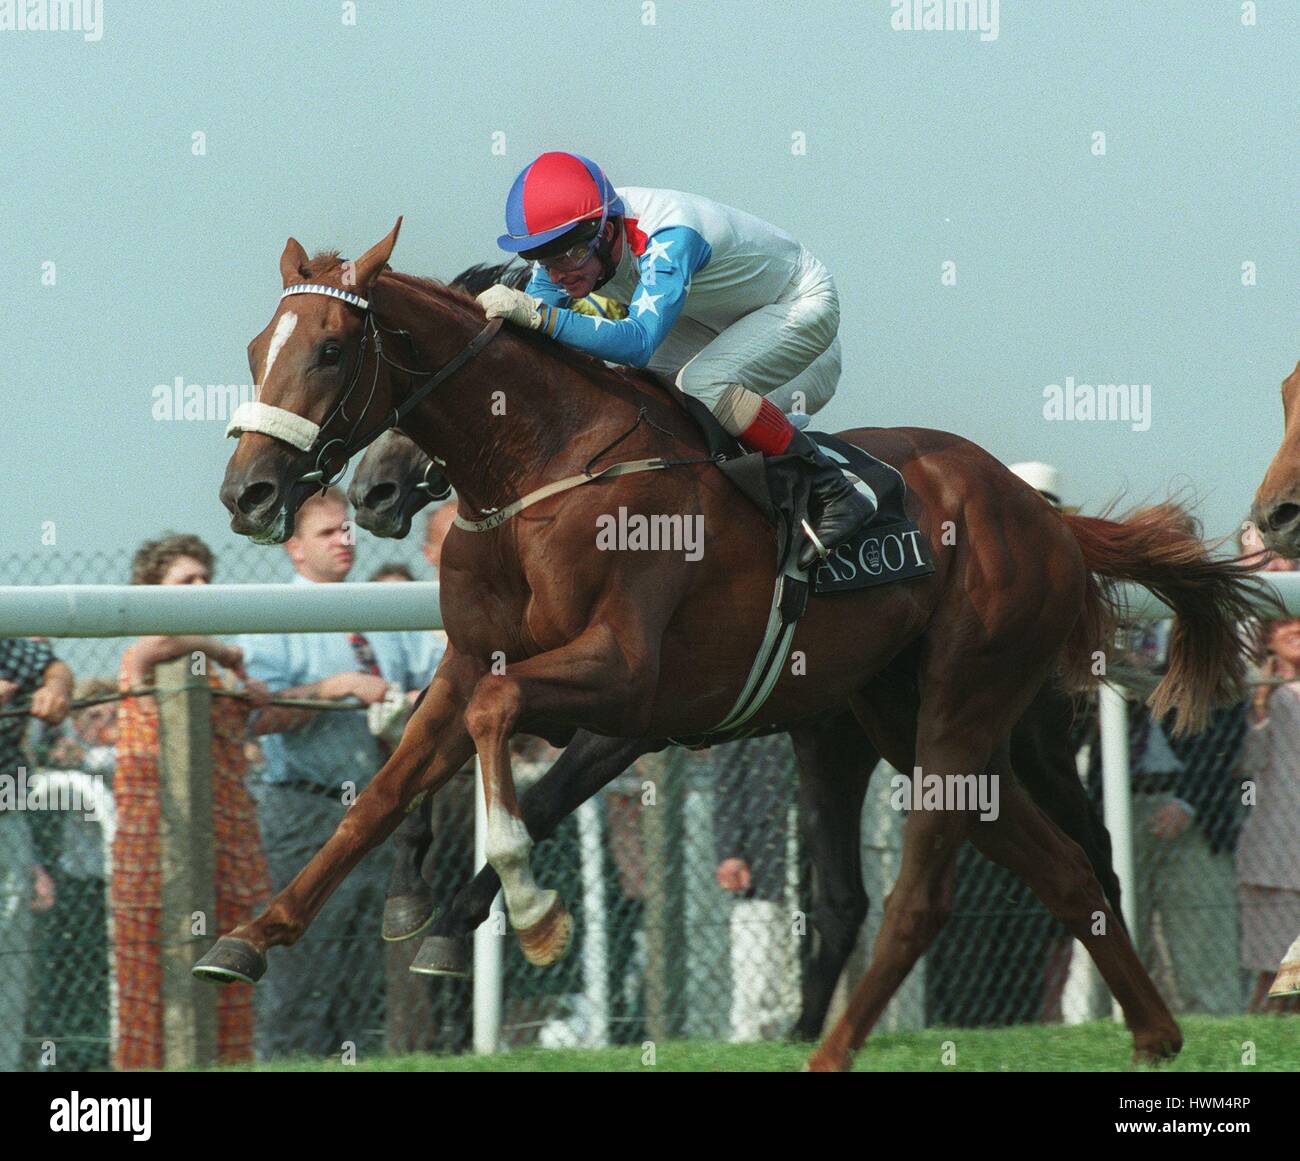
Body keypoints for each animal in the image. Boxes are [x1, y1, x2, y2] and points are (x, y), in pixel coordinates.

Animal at [210, 219, 1258, 1071]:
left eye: (333, 349)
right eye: (259, 347)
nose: (249, 492)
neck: (539, 470)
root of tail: (1048, 517)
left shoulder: (628, 688)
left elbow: (503, 741)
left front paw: (527, 911)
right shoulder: (475, 660)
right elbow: (385, 793)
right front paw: (256, 934)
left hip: (966, 706)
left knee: (936, 891)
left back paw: (831, 1047)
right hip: (897, 721)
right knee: (1056, 867)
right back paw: (1152, 1031)